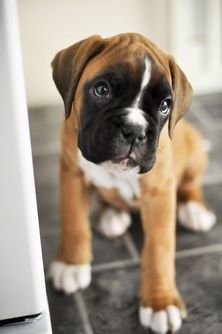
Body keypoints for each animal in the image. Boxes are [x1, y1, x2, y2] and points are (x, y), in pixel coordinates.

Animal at [48, 32, 215, 332]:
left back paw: (194, 210)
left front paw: (160, 303)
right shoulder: (71, 172)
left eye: (165, 105)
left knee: (190, 184)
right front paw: (71, 263)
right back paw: (112, 215)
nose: (135, 131)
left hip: (194, 149)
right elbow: (73, 221)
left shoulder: (159, 193)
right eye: (102, 90)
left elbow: (159, 250)